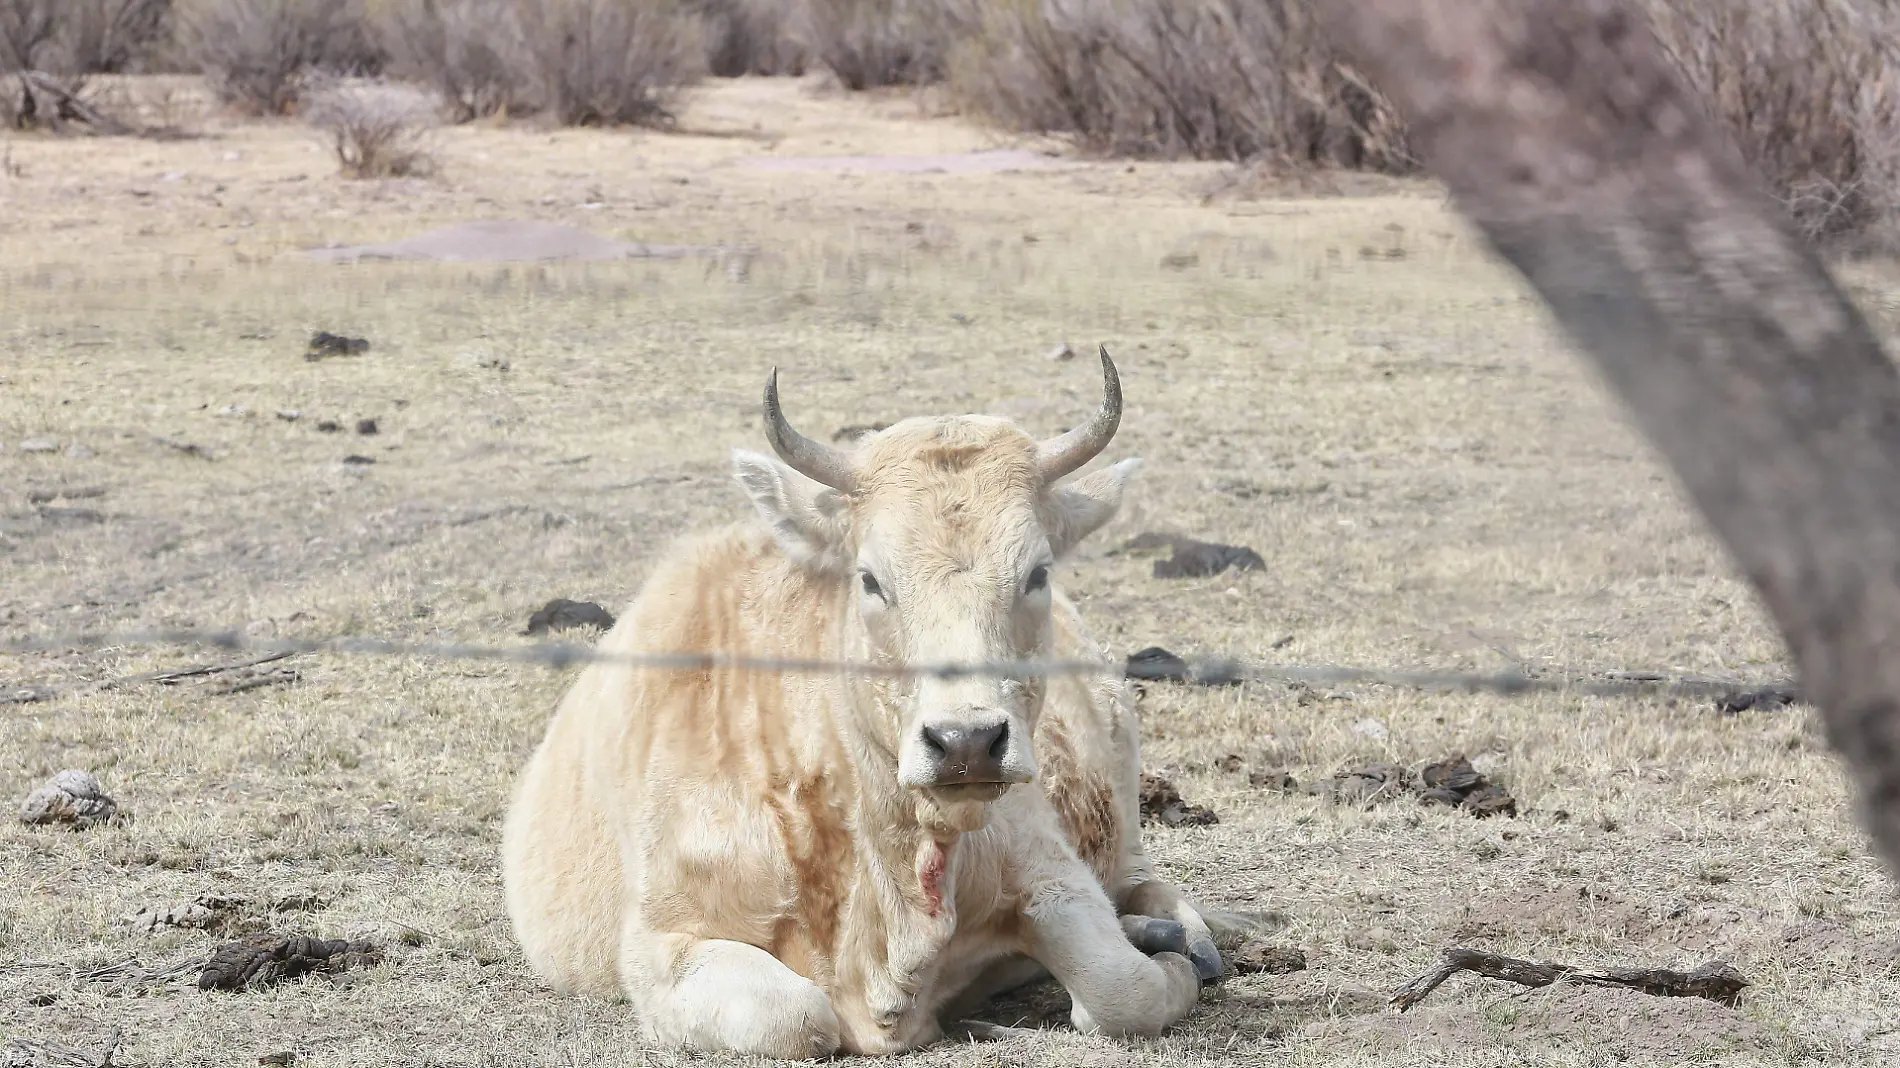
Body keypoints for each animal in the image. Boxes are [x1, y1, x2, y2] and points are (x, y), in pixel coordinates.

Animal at [501, 351, 1231, 1056]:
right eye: (872, 579)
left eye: (1038, 572)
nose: (966, 743)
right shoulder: (661, 943)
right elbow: (799, 1017)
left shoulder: (1050, 869)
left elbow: (1123, 990)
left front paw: (1163, 963)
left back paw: (1180, 935)